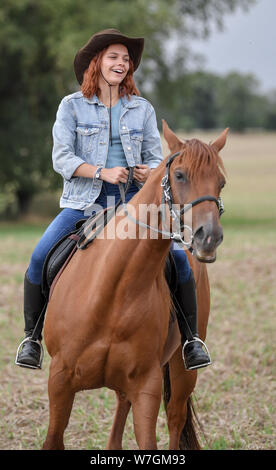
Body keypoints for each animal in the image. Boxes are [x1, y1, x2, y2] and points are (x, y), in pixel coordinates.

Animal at [42, 122, 227, 452]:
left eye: (221, 183)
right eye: (180, 175)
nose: (209, 237)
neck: (115, 291)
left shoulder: (146, 386)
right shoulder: (60, 380)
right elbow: (54, 438)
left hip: (181, 370)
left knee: (175, 416)